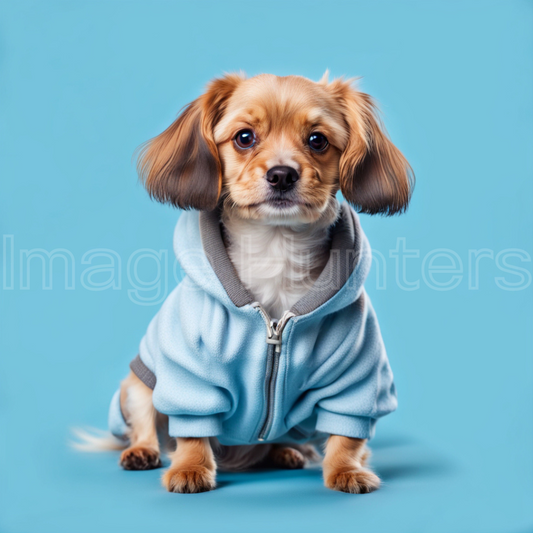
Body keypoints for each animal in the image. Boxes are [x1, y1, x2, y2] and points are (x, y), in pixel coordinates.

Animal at [77, 71, 414, 494]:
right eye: (244, 137)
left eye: (317, 140)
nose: (282, 174)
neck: (275, 248)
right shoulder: (191, 376)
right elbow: (191, 431)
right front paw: (191, 468)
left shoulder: (355, 379)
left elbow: (347, 435)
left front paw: (346, 470)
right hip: (138, 385)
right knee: (145, 426)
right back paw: (142, 452)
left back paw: (286, 451)